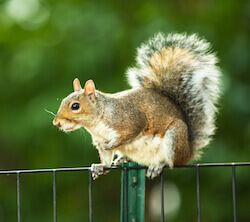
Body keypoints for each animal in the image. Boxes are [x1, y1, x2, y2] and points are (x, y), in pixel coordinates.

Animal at [52, 32, 221, 179]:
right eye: (62, 101)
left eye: (75, 106)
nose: (56, 123)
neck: (98, 121)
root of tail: (188, 152)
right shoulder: (99, 140)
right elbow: (106, 159)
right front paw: (100, 166)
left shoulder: (129, 120)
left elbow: (130, 132)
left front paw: (111, 145)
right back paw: (123, 159)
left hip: (175, 136)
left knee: (172, 163)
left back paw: (158, 165)